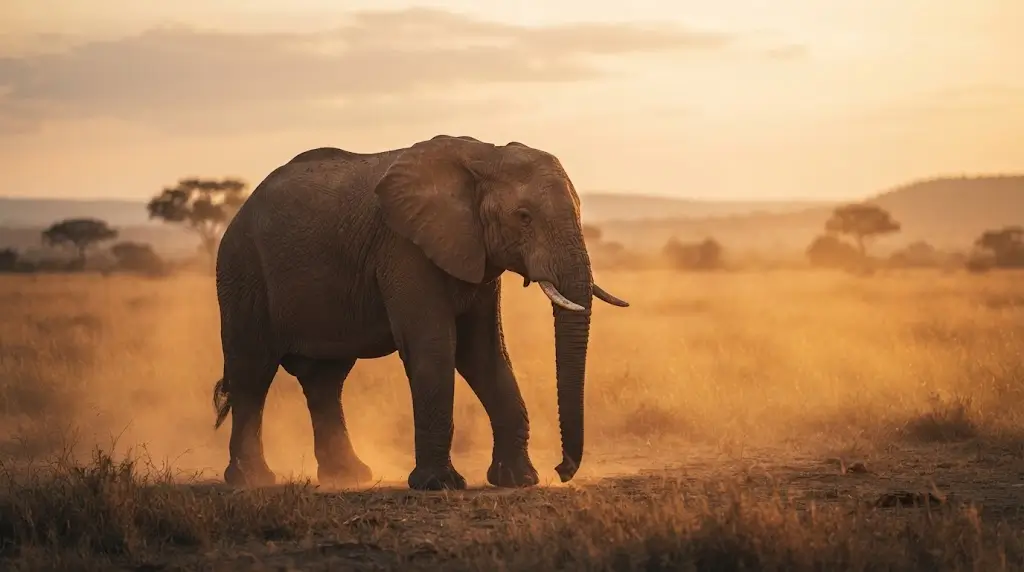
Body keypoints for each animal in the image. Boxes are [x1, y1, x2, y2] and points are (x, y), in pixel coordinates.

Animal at [211, 134, 629, 491]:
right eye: (523, 216)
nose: (563, 470)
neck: (484, 156)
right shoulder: (403, 248)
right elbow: (435, 348)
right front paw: (438, 485)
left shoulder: (475, 254)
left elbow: (484, 354)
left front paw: (519, 481)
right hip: (242, 271)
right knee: (252, 372)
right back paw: (253, 480)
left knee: (325, 379)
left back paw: (349, 477)